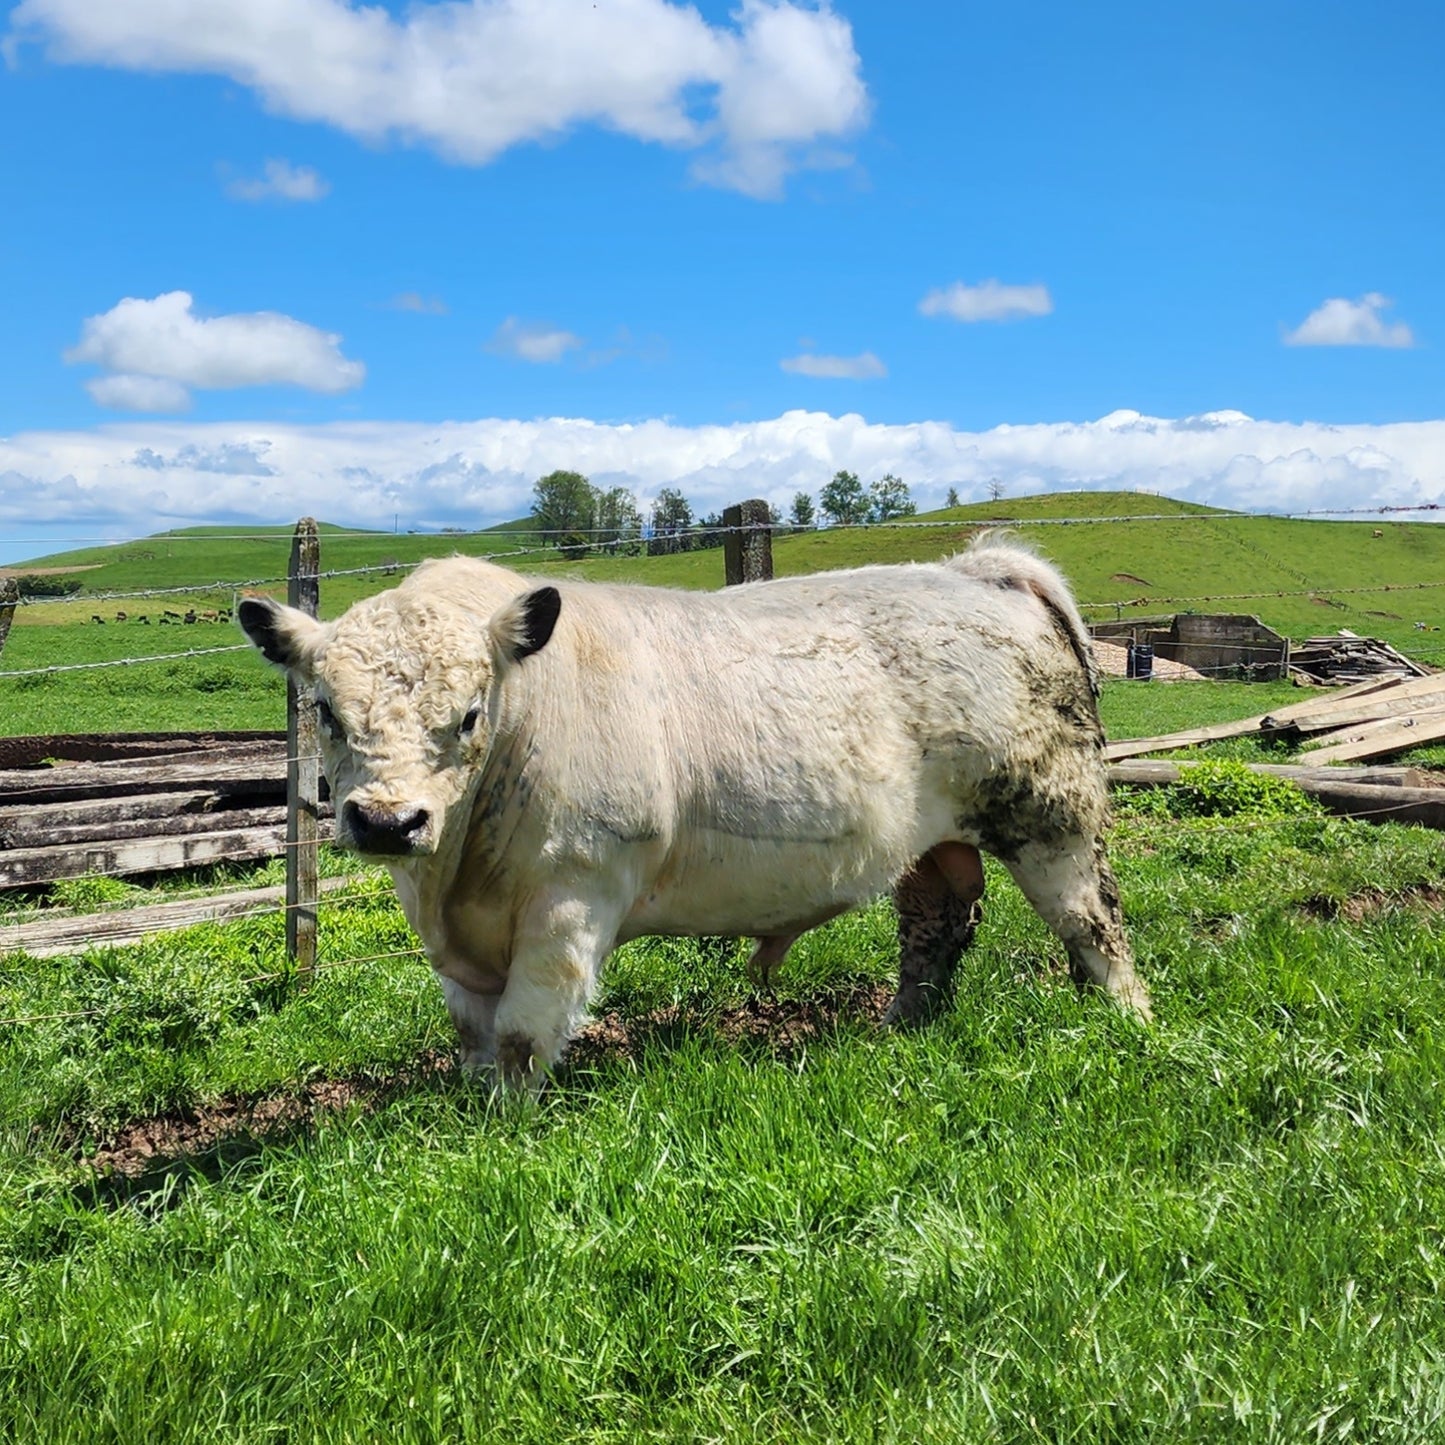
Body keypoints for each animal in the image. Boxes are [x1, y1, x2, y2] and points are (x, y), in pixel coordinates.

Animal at [239, 543, 1150, 1092]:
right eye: (323, 709)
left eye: (468, 714)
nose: (387, 821)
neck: (456, 882)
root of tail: (981, 568)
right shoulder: (454, 946)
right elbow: (472, 1034)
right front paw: (470, 1103)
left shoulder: (570, 898)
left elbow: (523, 1034)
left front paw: (503, 1125)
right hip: (932, 840)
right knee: (935, 923)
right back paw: (897, 1028)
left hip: (1052, 815)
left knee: (1093, 923)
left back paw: (1128, 1020)